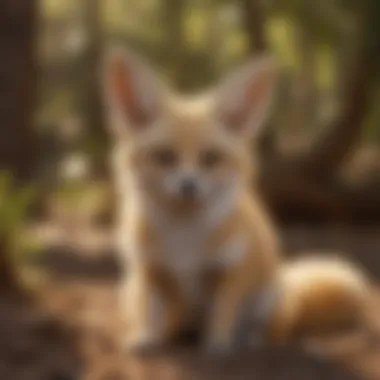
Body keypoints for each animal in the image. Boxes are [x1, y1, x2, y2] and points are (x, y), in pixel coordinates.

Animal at [103, 46, 280, 354]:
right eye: (164, 157)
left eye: (211, 158)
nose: (188, 185)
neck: (185, 244)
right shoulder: (150, 270)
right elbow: (151, 312)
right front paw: (147, 339)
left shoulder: (231, 272)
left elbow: (223, 312)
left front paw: (218, 346)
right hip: (131, 288)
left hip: (268, 296)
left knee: (258, 326)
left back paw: (250, 340)